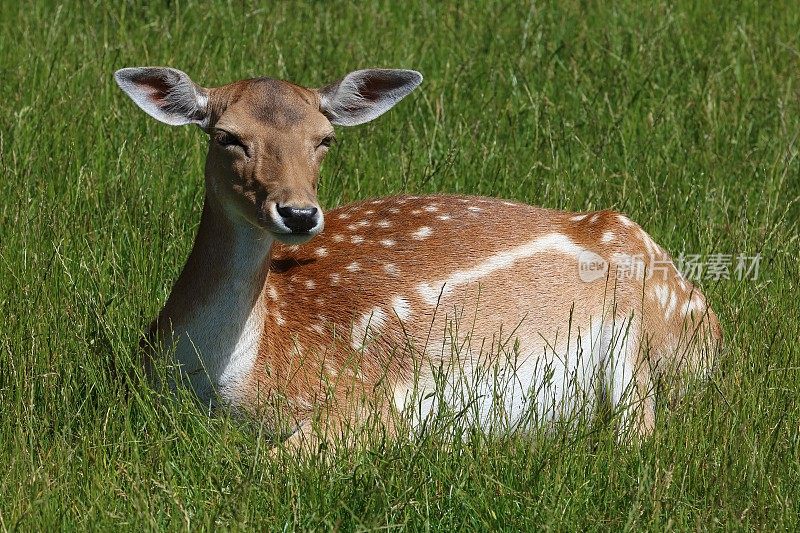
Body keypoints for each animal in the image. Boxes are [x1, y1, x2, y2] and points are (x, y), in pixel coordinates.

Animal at [115, 65, 720, 448]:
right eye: (227, 137)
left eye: (325, 138)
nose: (300, 214)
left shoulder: (363, 402)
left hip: (635, 340)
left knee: (637, 430)